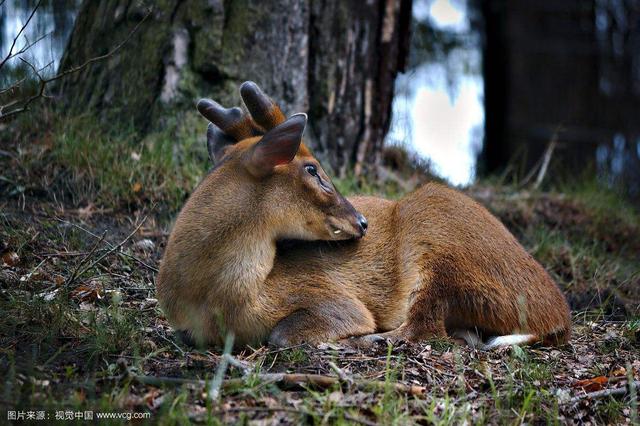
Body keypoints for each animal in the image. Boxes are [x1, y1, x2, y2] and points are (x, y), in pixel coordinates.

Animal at [158, 81, 572, 352]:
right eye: (313, 170)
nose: (362, 222)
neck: (216, 303)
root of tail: (558, 315)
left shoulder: (336, 300)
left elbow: (283, 334)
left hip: (438, 238)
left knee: (422, 327)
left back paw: (368, 340)